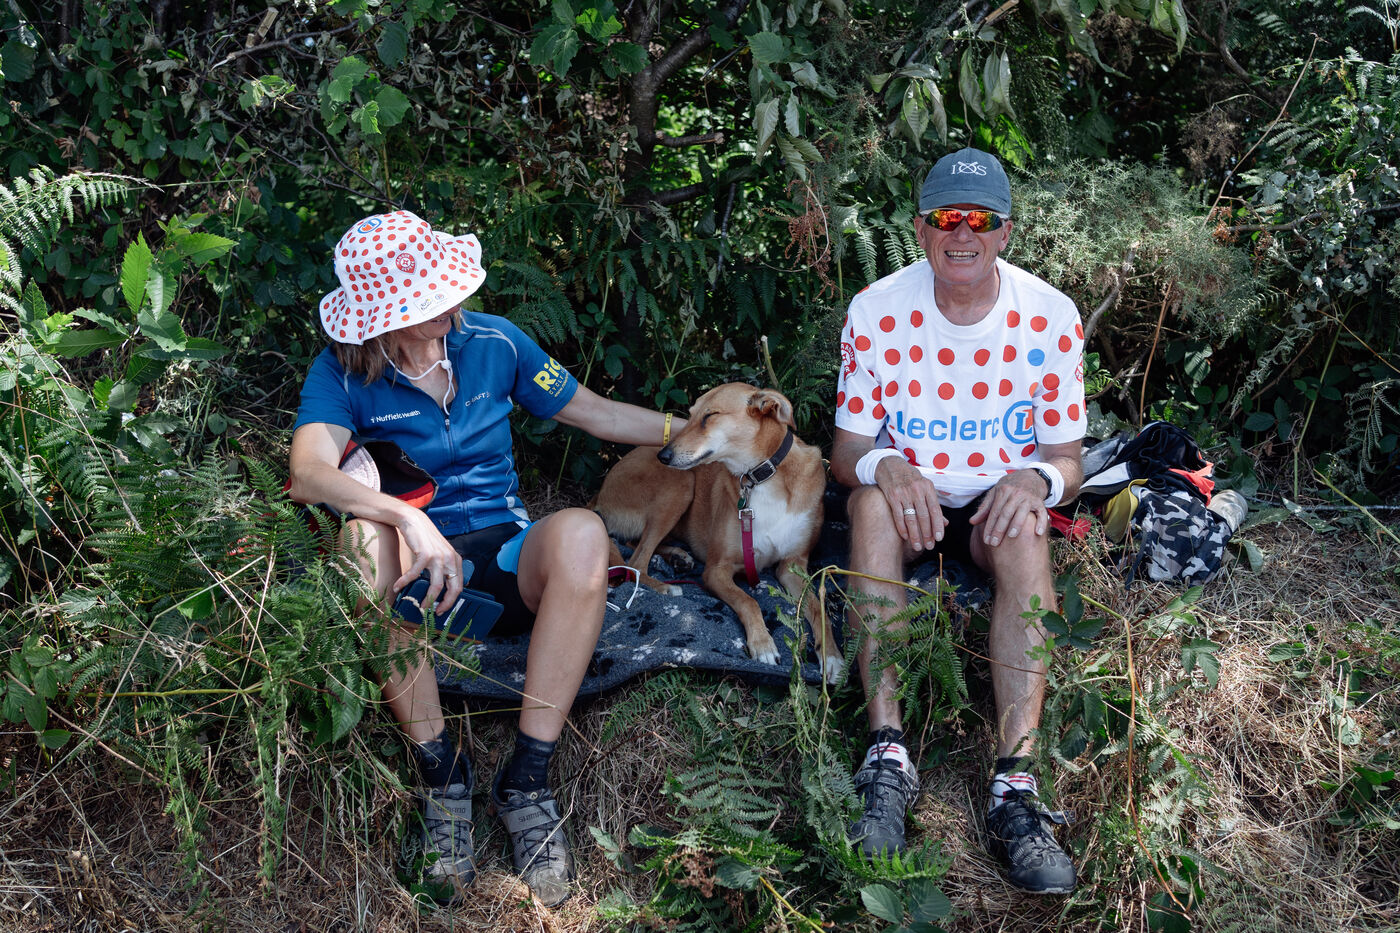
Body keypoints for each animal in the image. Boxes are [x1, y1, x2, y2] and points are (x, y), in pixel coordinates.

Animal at [593, 383, 842, 682]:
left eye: (710, 416)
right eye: (689, 415)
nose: (663, 456)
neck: (763, 478)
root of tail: (601, 491)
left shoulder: (792, 567)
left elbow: (818, 607)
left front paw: (832, 657)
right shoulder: (715, 570)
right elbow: (748, 600)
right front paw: (763, 644)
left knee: (635, 545)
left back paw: (677, 557)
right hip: (681, 483)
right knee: (636, 562)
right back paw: (666, 588)